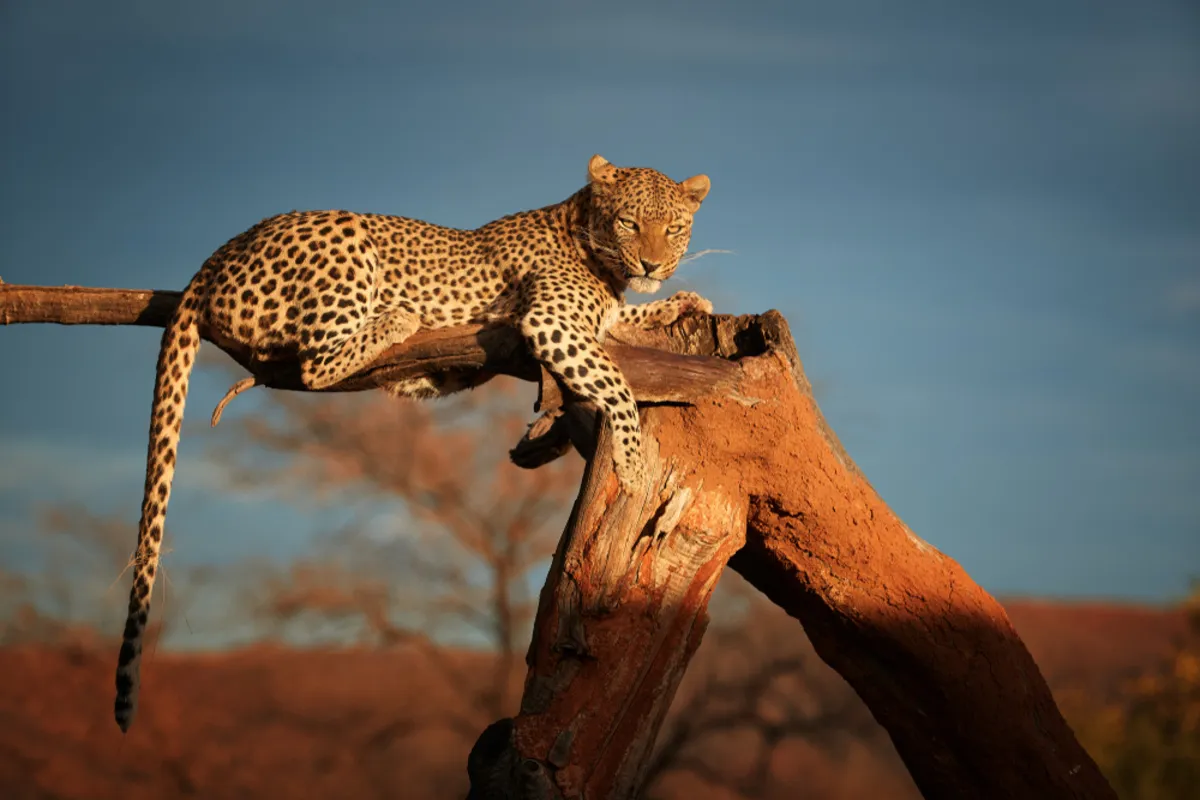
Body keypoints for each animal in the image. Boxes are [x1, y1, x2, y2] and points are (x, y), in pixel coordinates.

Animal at [113, 154, 712, 732]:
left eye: (674, 228)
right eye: (630, 222)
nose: (652, 266)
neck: (594, 246)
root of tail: (222, 250)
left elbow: (624, 323)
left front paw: (679, 304)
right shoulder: (551, 321)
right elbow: (616, 381)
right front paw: (632, 464)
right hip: (346, 241)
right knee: (314, 364)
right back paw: (397, 317)